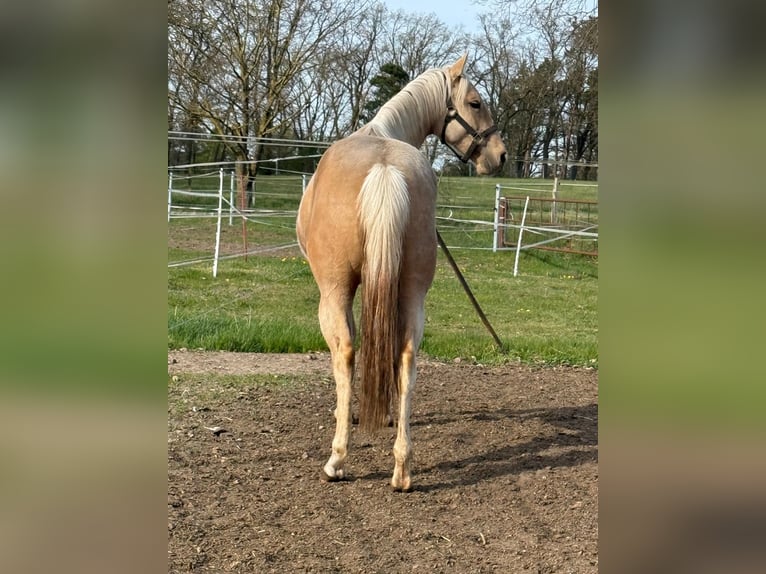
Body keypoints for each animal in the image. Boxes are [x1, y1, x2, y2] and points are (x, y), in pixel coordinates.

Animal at [296, 54, 506, 491]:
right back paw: (402, 467)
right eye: (476, 103)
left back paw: (337, 459)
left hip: (334, 290)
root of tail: (384, 168)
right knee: (407, 355)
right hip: (411, 290)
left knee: (345, 351)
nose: (500, 155)